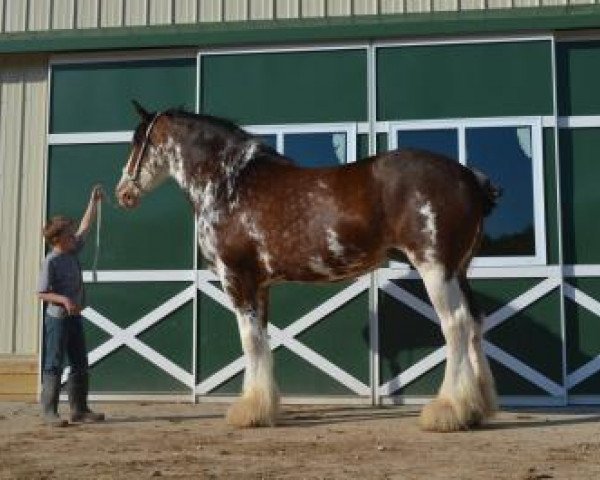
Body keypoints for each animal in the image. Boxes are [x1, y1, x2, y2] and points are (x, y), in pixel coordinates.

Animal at [115, 100, 500, 432]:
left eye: (138, 142)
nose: (123, 194)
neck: (229, 184)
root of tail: (468, 177)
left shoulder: (237, 278)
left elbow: (249, 341)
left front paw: (249, 410)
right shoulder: (261, 284)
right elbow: (261, 338)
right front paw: (264, 406)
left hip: (436, 269)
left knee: (455, 325)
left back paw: (447, 410)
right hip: (459, 271)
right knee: (475, 324)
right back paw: (476, 407)